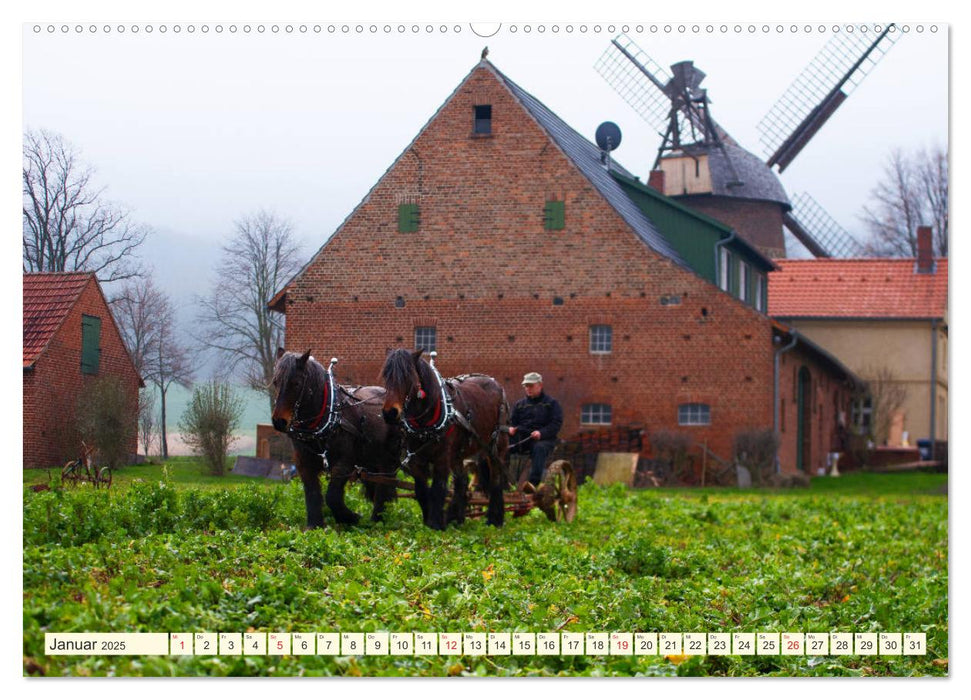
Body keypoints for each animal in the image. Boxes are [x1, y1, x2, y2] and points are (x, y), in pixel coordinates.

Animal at [270, 348, 398, 528]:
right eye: (276, 382)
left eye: (296, 383)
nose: (279, 421)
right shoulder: (304, 462)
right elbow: (312, 493)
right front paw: (314, 526)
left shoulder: (344, 462)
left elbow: (332, 497)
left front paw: (350, 517)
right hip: (370, 461)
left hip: (387, 458)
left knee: (383, 485)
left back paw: (377, 519)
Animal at [378, 350, 508, 532]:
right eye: (386, 376)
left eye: (408, 377)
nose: (390, 413)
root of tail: (496, 384)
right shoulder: (416, 459)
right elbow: (421, 490)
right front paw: (429, 519)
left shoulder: (442, 458)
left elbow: (437, 489)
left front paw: (435, 523)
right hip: (458, 454)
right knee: (462, 481)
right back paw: (455, 518)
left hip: (496, 446)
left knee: (496, 480)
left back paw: (495, 520)